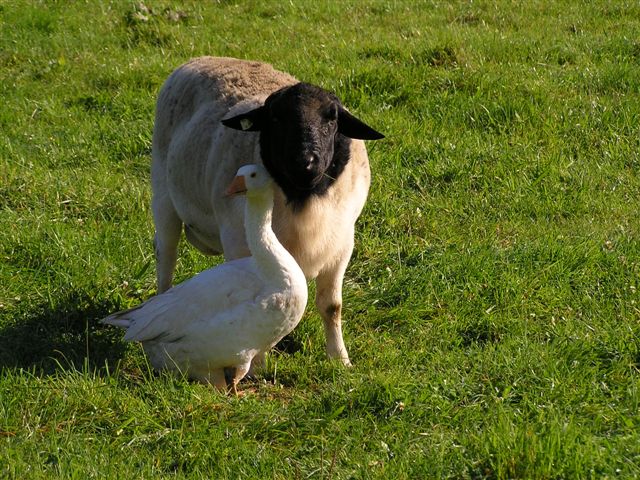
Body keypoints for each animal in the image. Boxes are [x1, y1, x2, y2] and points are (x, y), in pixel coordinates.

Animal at [152, 58, 382, 370]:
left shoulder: (342, 245)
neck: (302, 199)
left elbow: (332, 307)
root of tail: (202, 58)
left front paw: (340, 360)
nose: (304, 162)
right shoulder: (239, 245)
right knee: (166, 258)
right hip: (163, 195)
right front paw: (258, 363)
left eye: (332, 119)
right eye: (275, 118)